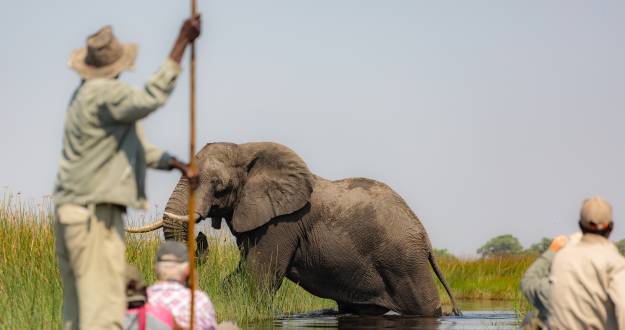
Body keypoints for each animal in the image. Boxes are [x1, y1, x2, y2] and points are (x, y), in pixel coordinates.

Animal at [127, 142, 460, 318]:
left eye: (219, 187)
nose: (201, 235)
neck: (247, 149)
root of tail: (425, 237)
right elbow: (242, 274)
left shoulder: (281, 224)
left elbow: (258, 277)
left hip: (404, 262)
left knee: (425, 307)